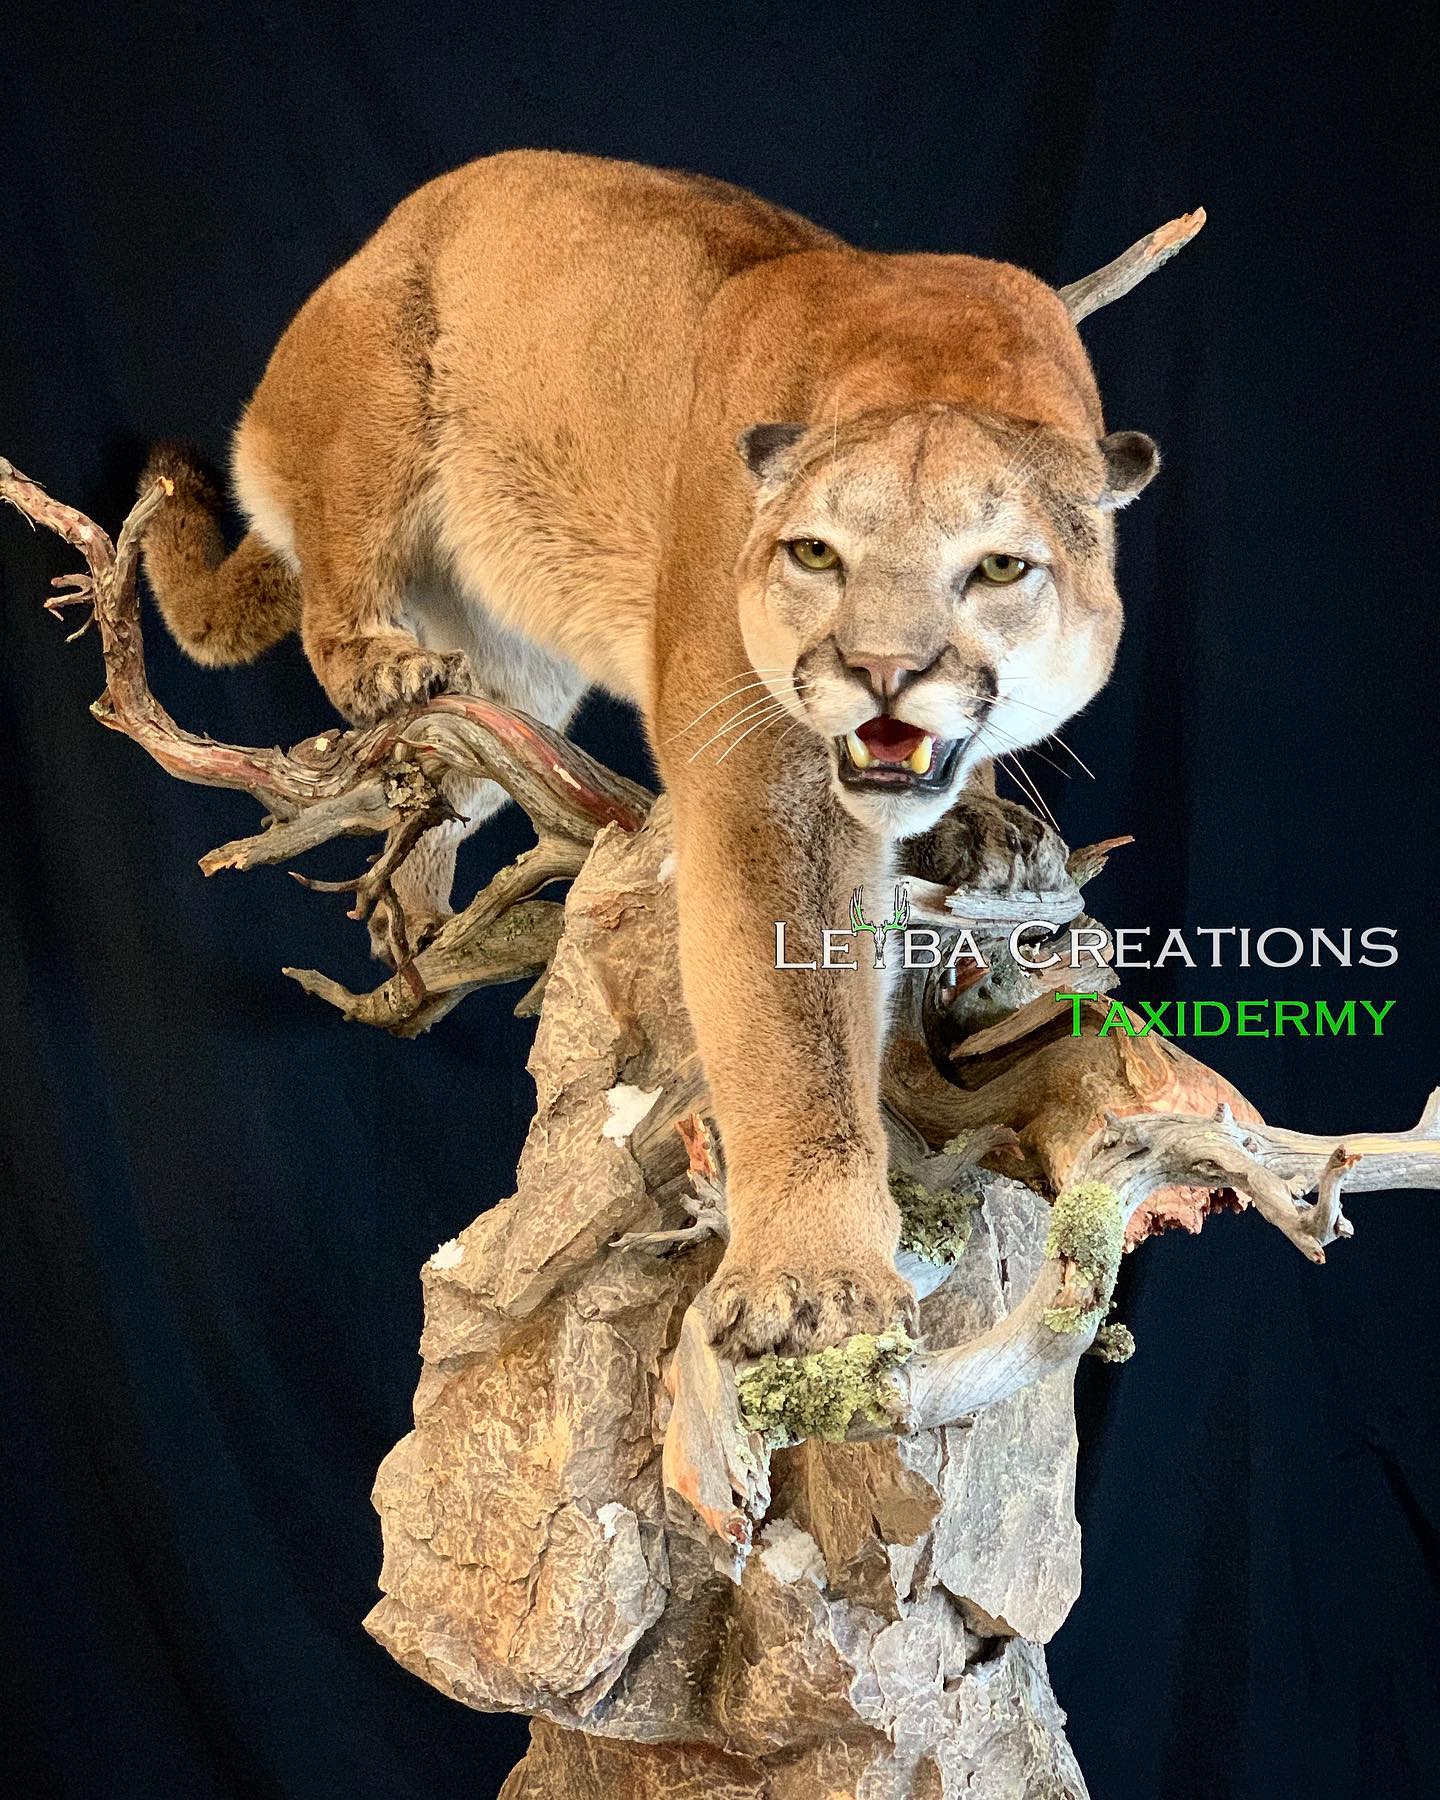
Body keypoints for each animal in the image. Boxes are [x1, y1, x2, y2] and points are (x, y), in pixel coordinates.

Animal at [140, 150, 1160, 1357]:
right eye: (816, 554)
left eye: (1000, 568)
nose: (882, 670)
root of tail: (393, 230)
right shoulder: (764, 783)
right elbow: (793, 1030)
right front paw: (815, 1277)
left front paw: (985, 823)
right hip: (377, 411)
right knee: (336, 596)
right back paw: (386, 671)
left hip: (517, 659)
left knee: (456, 772)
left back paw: (425, 872)